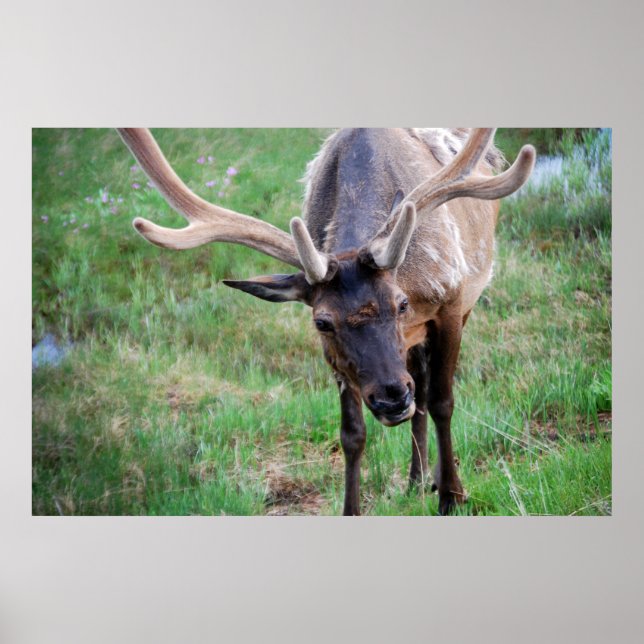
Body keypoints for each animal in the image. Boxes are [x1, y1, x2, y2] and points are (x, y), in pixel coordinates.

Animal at [117, 127, 535, 516]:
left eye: (400, 303)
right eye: (322, 322)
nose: (391, 397)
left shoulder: (451, 301)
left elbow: (442, 401)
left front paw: (452, 496)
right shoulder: (336, 356)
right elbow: (352, 433)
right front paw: (355, 508)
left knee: (426, 389)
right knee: (417, 378)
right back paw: (416, 479)